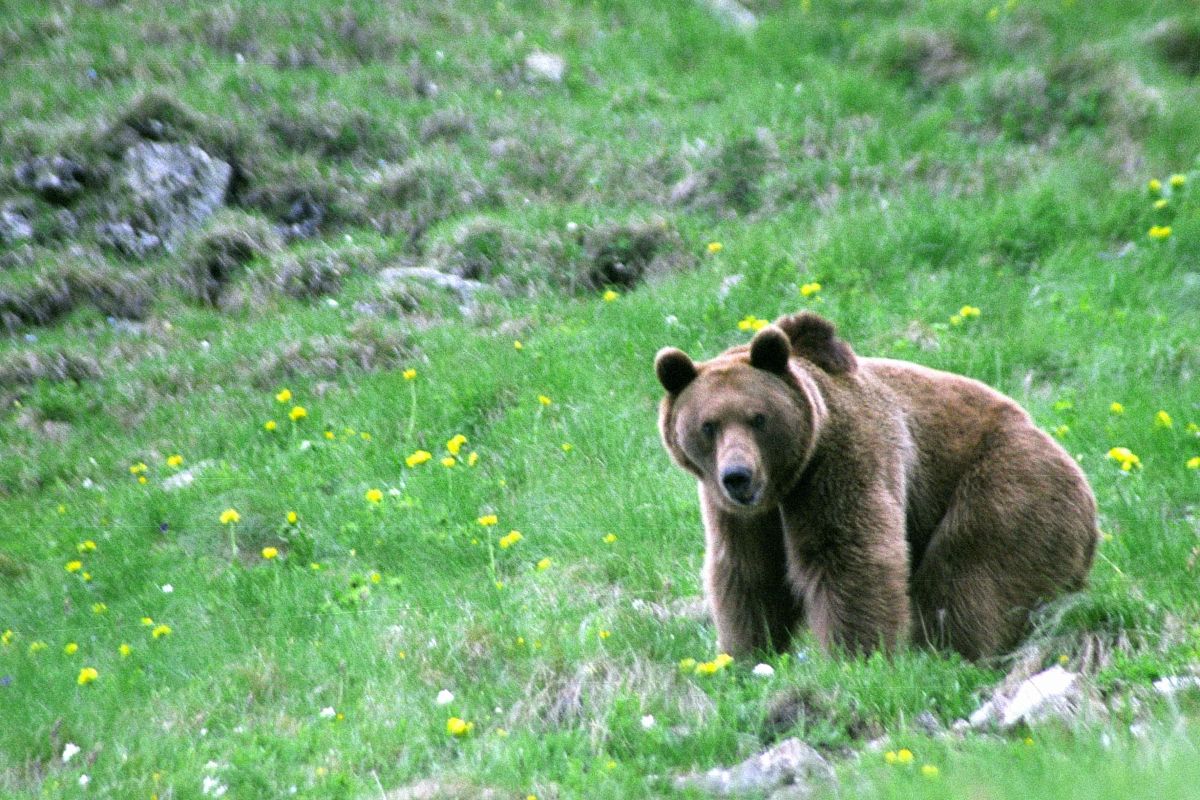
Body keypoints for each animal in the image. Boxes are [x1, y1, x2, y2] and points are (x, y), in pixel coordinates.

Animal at [657, 309, 1099, 662]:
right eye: (708, 425)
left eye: (758, 418)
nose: (738, 475)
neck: (788, 480)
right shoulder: (739, 513)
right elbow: (748, 573)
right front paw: (744, 655)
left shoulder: (843, 457)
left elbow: (848, 554)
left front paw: (855, 657)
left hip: (1011, 482)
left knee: (969, 573)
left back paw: (945, 653)